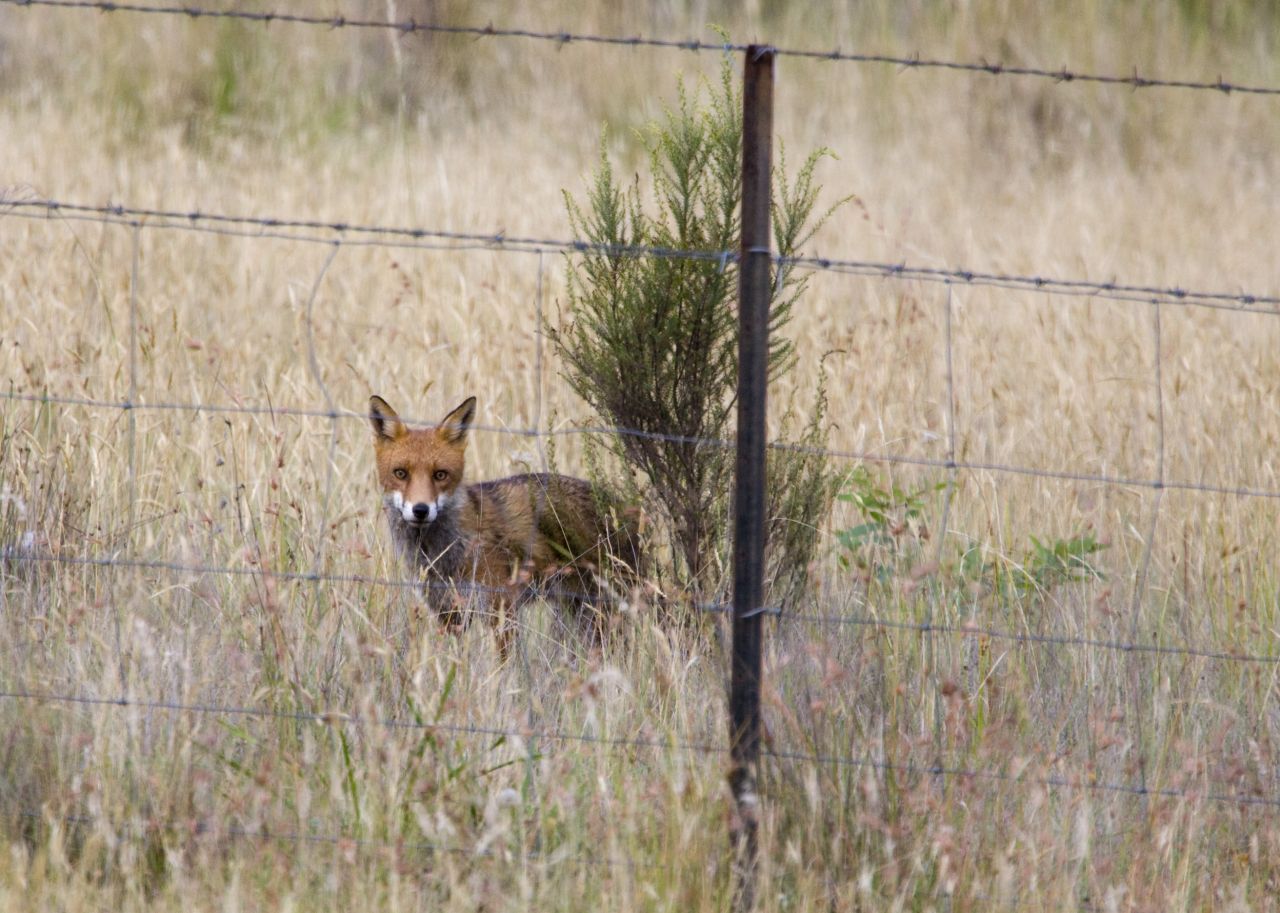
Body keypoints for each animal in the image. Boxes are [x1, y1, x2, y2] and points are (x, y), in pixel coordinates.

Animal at [371, 391, 645, 655]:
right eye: (400, 473)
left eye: (440, 475)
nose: (420, 510)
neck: (440, 554)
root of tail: (623, 505)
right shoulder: (450, 615)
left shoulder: (501, 610)